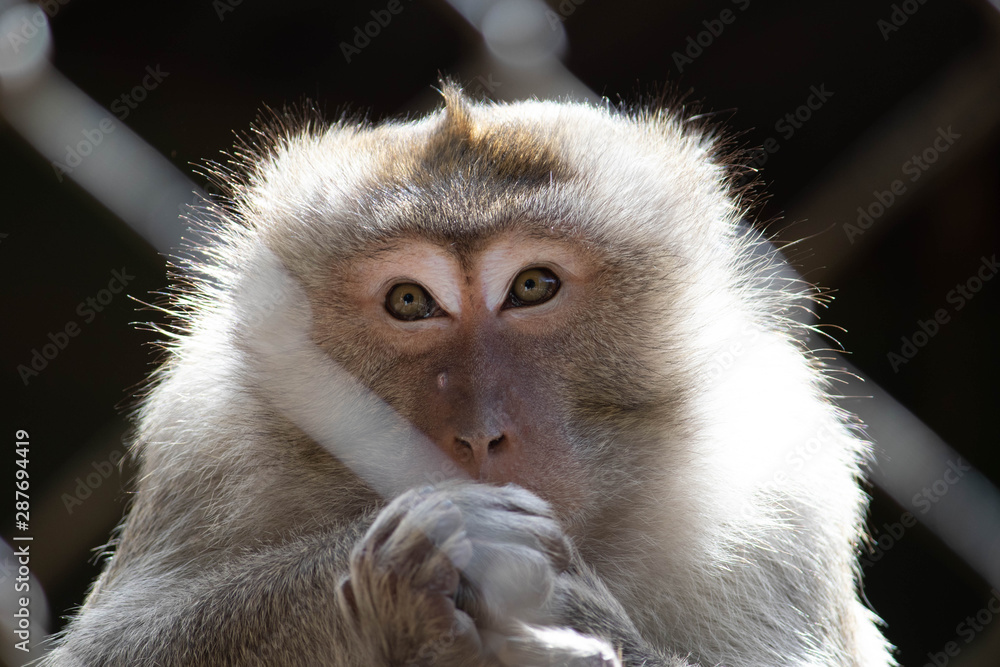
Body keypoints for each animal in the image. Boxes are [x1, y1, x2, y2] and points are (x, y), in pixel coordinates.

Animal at [41, 84, 894, 667]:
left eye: (533, 285)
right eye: (410, 301)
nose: (480, 435)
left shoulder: (781, 483)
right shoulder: (203, 435)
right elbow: (114, 649)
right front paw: (421, 556)